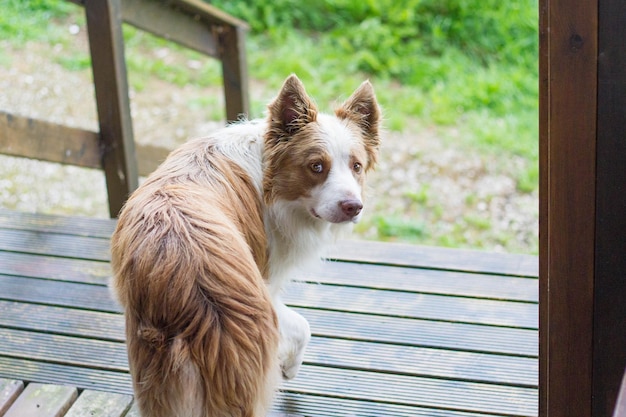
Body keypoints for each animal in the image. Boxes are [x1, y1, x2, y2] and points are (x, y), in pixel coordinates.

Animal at [108, 75, 380, 416]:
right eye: (317, 166)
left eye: (356, 166)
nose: (353, 207)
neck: (268, 176)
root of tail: (187, 288)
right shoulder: (268, 287)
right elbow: (303, 326)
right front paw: (289, 367)